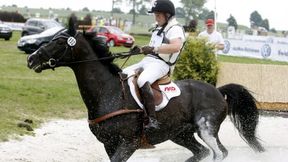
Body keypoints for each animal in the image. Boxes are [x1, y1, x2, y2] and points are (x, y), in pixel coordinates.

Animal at [26, 16, 264, 162]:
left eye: (59, 42)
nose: (31, 59)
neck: (108, 93)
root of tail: (218, 90)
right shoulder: (109, 144)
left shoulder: (127, 144)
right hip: (181, 134)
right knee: (202, 152)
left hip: (206, 129)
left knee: (219, 153)